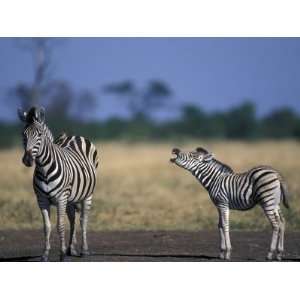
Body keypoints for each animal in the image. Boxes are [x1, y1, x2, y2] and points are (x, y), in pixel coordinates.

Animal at [17, 107, 98, 260]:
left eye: (40, 135)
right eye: (23, 134)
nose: (27, 160)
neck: (44, 169)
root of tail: (73, 136)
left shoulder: (61, 198)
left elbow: (60, 225)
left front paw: (61, 254)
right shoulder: (41, 199)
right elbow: (46, 227)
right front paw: (45, 254)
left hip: (87, 194)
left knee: (83, 220)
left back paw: (84, 250)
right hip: (70, 198)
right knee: (73, 219)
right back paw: (71, 248)